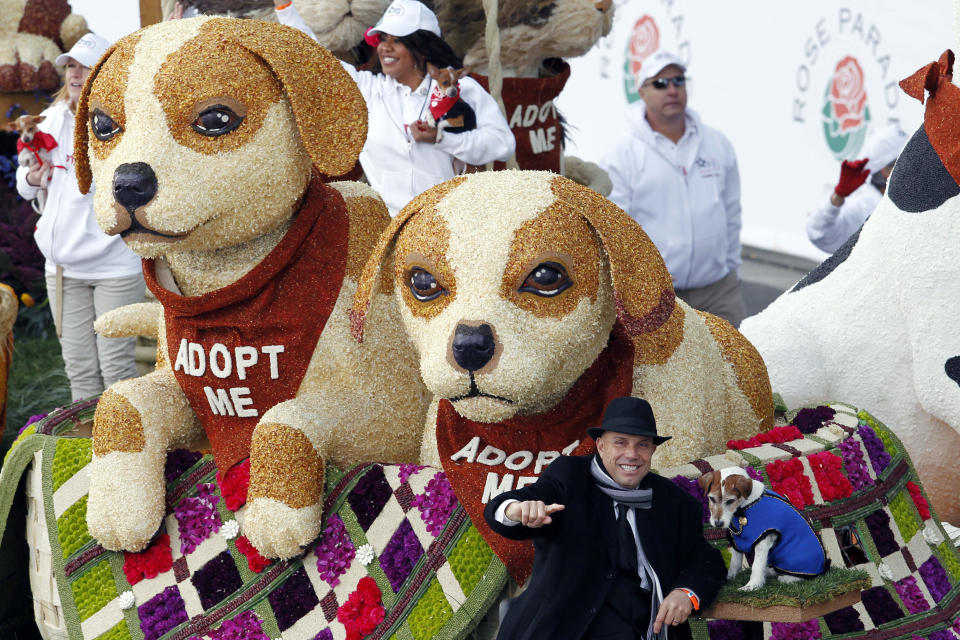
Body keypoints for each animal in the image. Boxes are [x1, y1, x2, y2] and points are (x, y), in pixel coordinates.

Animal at [77, 17, 430, 560]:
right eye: (102, 125)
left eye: (216, 119)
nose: (129, 183)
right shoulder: (194, 402)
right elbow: (121, 401)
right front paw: (118, 508)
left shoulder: (391, 420)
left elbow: (283, 419)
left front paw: (277, 514)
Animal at [696, 470, 824, 592]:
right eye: (711, 498)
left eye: (730, 501)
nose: (718, 524)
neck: (744, 507)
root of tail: (823, 566)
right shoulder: (737, 541)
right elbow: (734, 563)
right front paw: (729, 578)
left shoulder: (763, 542)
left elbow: (756, 566)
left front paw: (752, 586)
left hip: (793, 559)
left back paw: (787, 578)